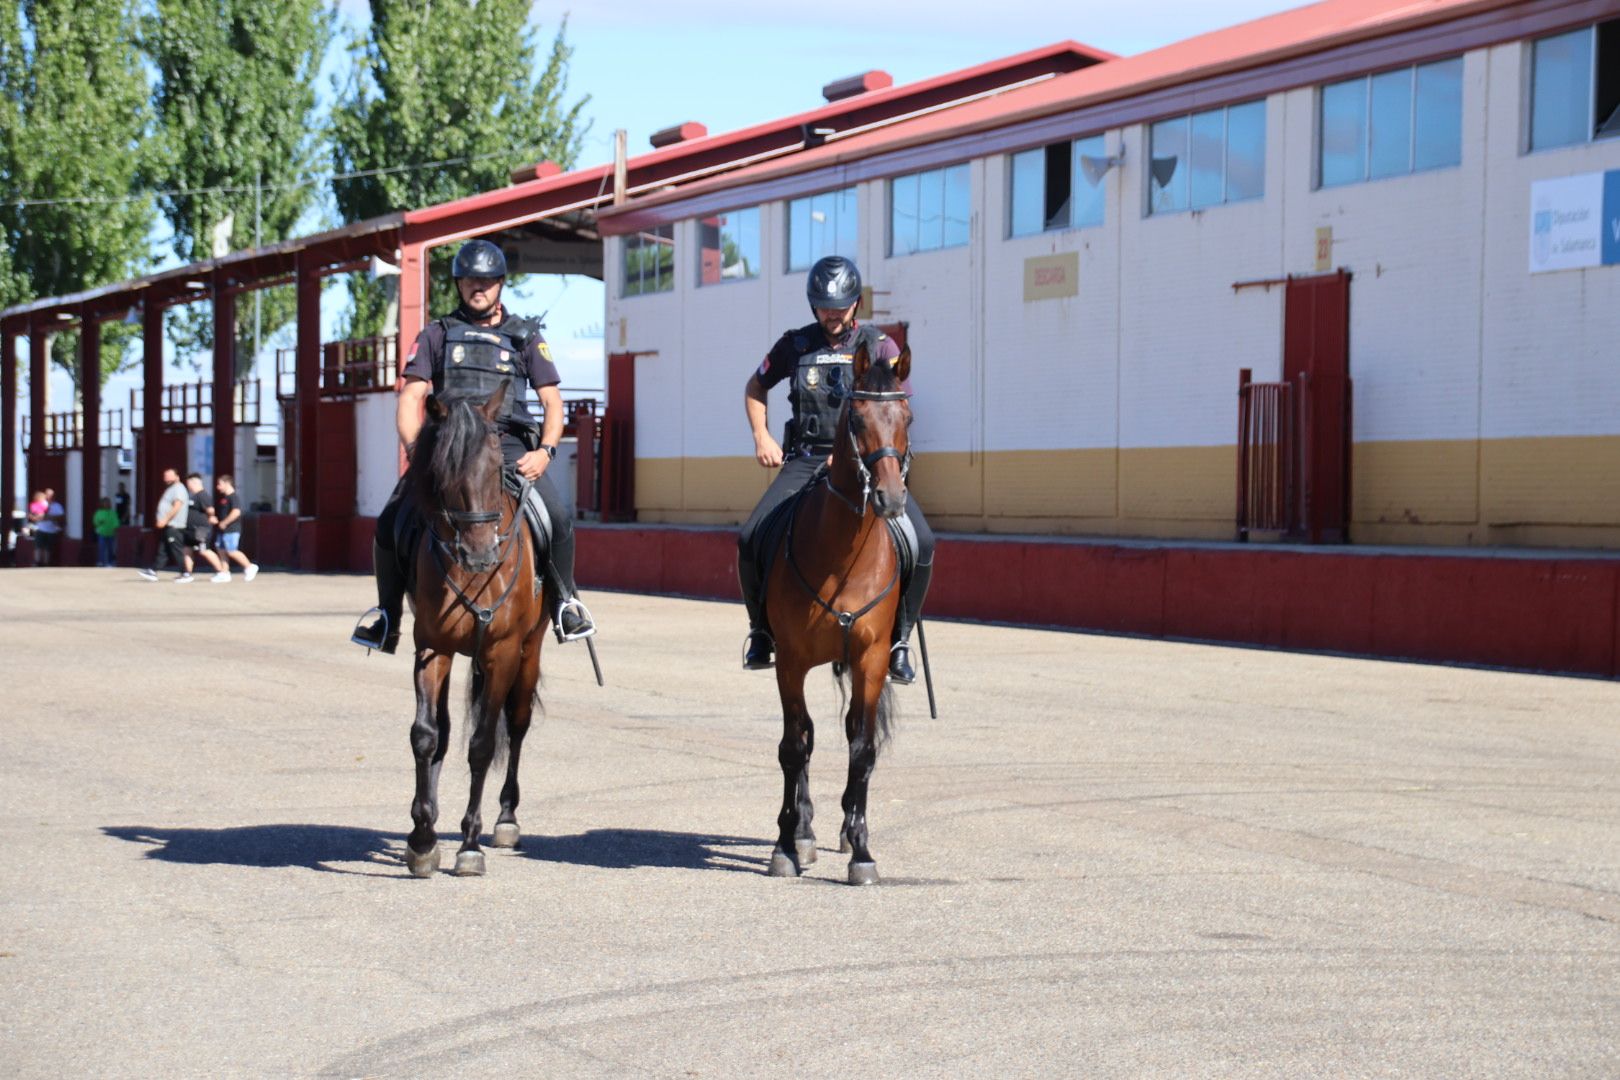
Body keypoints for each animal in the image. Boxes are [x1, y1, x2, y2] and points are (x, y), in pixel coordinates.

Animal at [401, 383, 547, 874]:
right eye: (443, 471)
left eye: (497, 465)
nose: (481, 554)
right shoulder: (432, 648)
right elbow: (427, 736)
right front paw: (423, 838)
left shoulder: (501, 652)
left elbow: (482, 744)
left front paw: (469, 844)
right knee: (445, 732)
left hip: (530, 649)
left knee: (516, 724)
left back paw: (505, 819)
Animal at [761, 341, 913, 893]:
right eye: (859, 418)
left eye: (907, 417)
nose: (890, 497)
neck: (843, 554)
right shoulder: (790, 661)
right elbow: (794, 747)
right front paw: (786, 845)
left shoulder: (870, 659)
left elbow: (862, 748)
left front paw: (862, 850)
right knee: (803, 740)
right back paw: (804, 831)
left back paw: (846, 828)